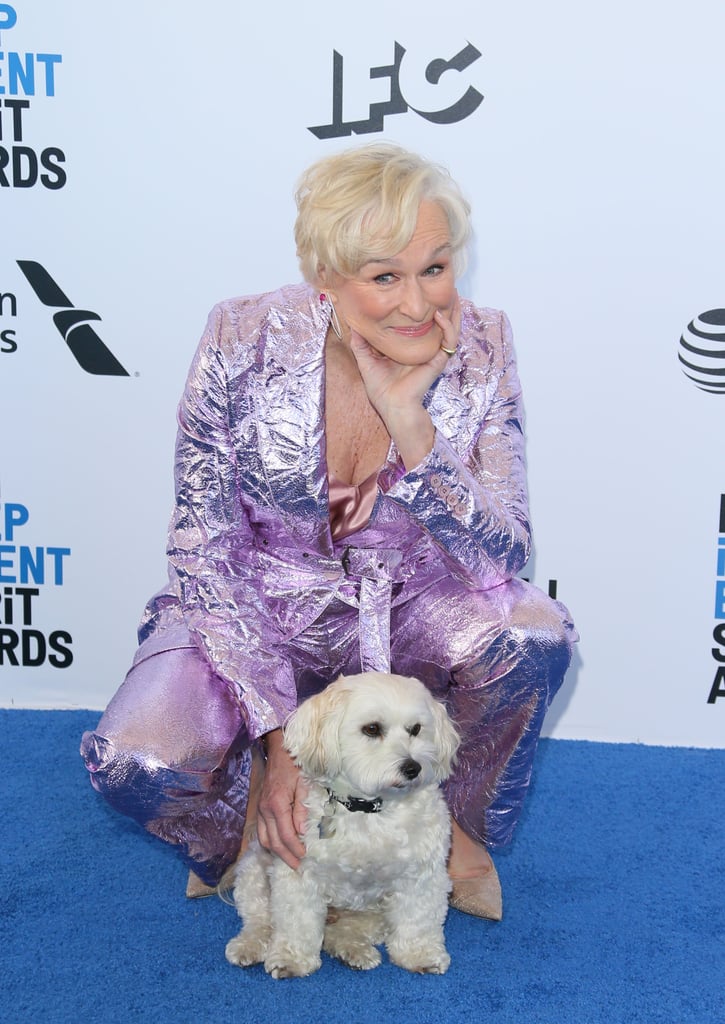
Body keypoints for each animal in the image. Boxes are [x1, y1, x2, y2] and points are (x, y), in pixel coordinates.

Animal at [225, 671, 458, 974]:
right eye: (372, 729)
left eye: (416, 729)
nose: (413, 768)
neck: (370, 810)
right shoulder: (298, 871)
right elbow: (296, 921)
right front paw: (291, 958)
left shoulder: (421, 874)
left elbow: (418, 919)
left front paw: (419, 955)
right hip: (254, 873)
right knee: (260, 920)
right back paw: (249, 945)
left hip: (372, 913)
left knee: (345, 930)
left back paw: (353, 950)